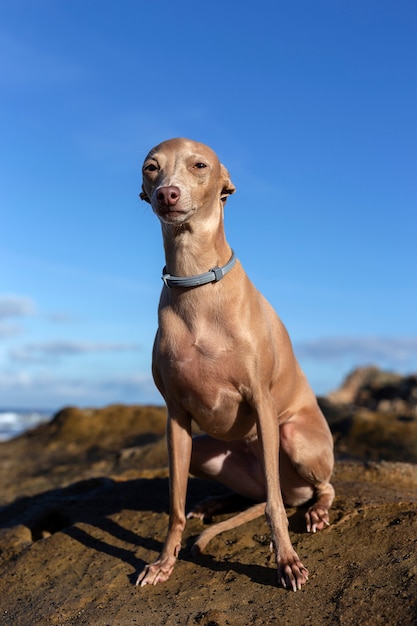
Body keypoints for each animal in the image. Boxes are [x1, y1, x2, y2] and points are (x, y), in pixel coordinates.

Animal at [136, 138, 334, 588]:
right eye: (151, 168)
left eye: (200, 165)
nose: (166, 195)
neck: (195, 283)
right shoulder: (176, 418)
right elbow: (174, 507)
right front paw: (164, 562)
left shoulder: (261, 400)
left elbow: (274, 509)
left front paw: (287, 562)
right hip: (206, 453)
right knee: (256, 492)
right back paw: (212, 504)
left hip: (292, 437)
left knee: (310, 490)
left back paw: (315, 511)